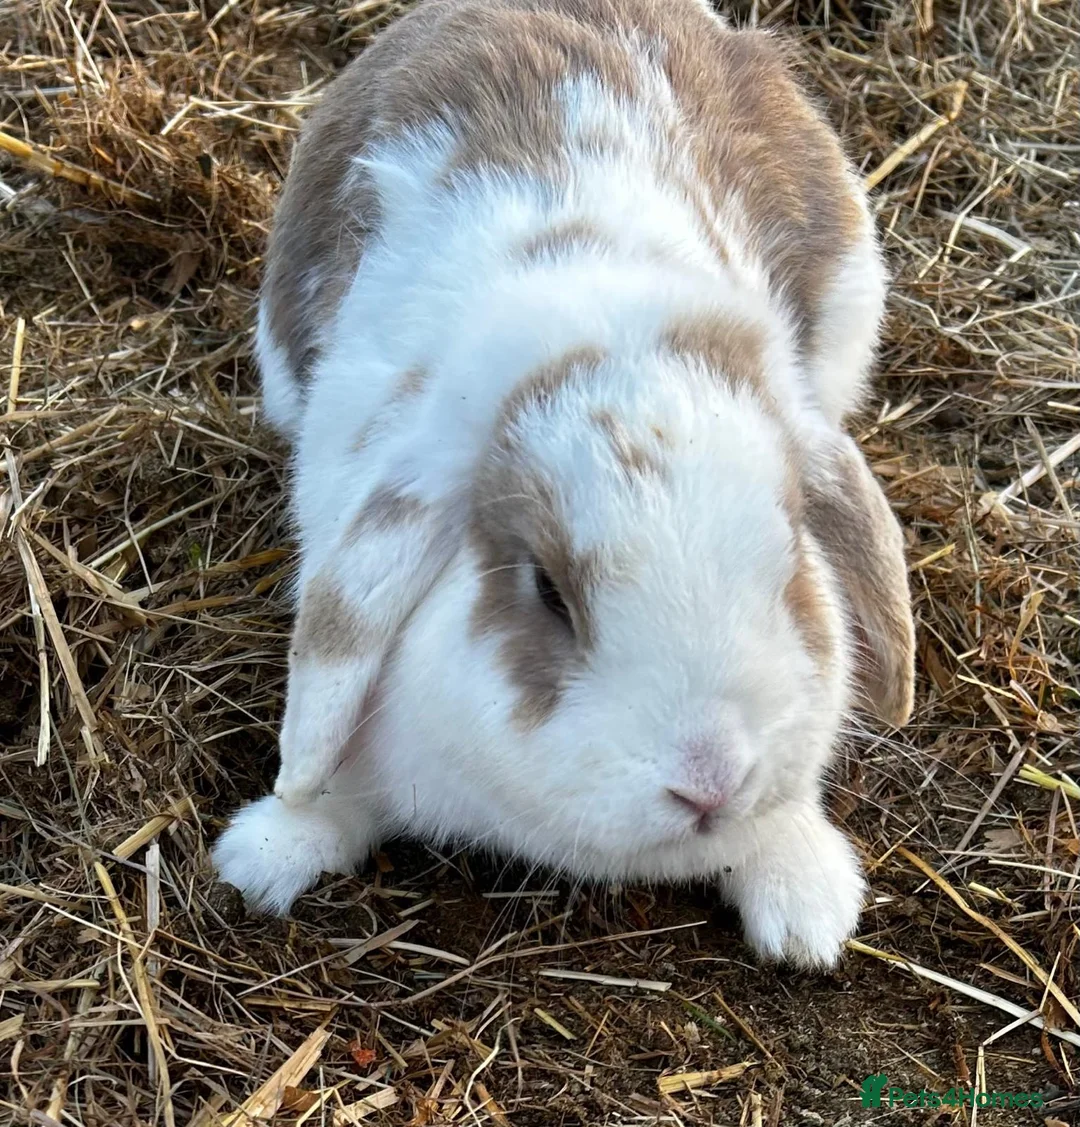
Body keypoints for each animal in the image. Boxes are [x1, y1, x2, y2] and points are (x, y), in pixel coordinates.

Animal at [213, 0, 915, 968]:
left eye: (791, 563)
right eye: (548, 591)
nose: (709, 781)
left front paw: (807, 903)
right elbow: (332, 768)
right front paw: (266, 852)